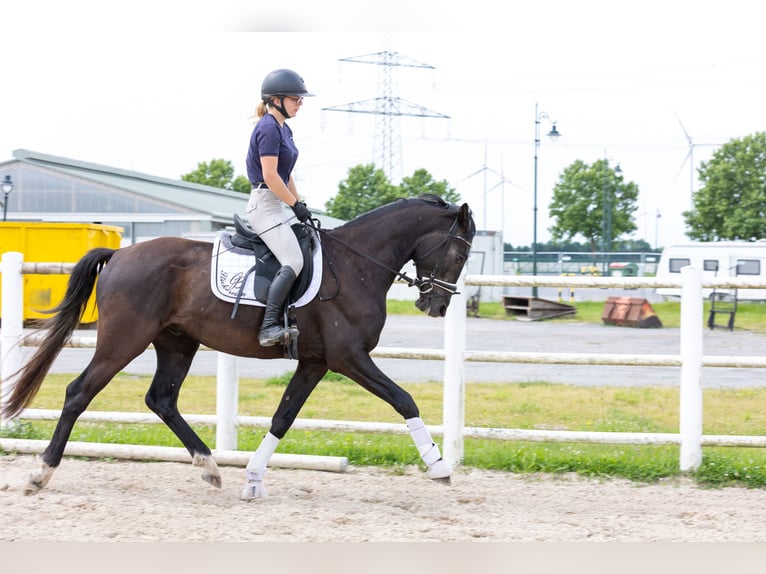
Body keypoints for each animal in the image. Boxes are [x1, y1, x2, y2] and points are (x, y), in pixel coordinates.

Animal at [3, 194, 476, 500]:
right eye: (458, 254)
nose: (435, 305)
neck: (356, 264)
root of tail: (119, 256)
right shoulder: (349, 358)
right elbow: (403, 399)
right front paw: (438, 466)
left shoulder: (315, 362)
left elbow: (283, 416)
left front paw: (253, 478)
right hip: (123, 341)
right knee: (78, 393)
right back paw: (40, 475)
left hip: (177, 344)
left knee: (161, 400)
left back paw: (210, 468)